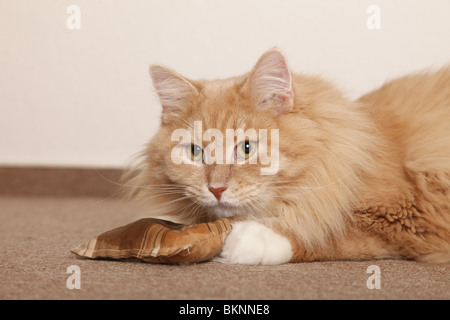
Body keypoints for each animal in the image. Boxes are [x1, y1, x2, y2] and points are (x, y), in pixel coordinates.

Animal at [121, 48, 448, 264]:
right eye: (194, 152)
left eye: (247, 148)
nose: (216, 189)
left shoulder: (405, 218)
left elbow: (325, 230)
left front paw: (249, 239)